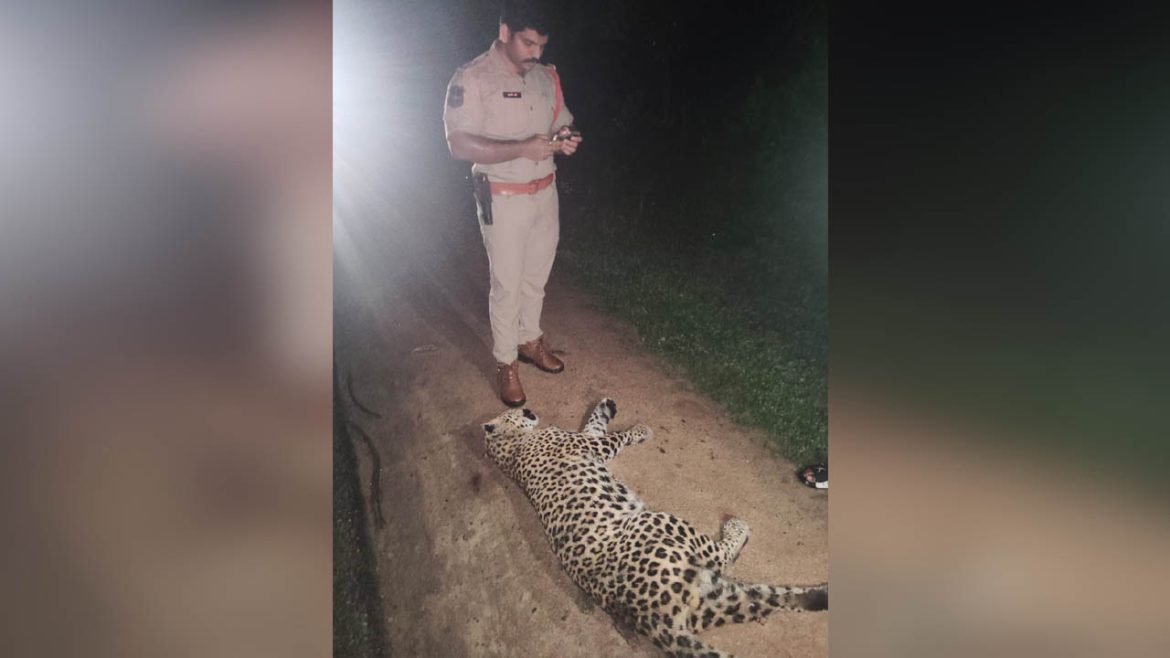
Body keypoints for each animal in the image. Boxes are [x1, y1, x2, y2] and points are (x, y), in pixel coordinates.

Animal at [482, 398, 827, 658]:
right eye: (512, 410)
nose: (527, 406)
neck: (507, 451)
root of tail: (649, 618)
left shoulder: (587, 440)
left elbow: (594, 422)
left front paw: (606, 404)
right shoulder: (593, 445)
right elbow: (612, 435)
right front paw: (639, 430)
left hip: (719, 598)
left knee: (769, 600)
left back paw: (821, 593)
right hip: (660, 523)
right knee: (722, 556)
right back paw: (737, 528)